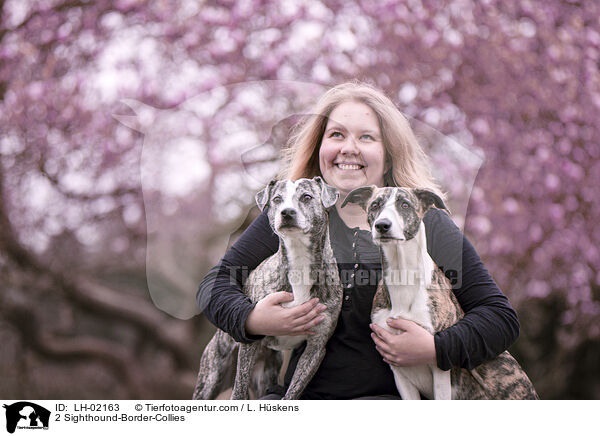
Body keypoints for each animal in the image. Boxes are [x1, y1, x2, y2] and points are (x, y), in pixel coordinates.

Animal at [193, 176, 342, 398]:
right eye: (277, 199)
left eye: (306, 197)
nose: (287, 212)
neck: (299, 259)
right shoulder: (249, 345)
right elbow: (238, 391)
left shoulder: (316, 348)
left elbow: (292, 393)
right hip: (211, 375)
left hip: (265, 372)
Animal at [342, 186, 540, 400]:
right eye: (375, 205)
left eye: (405, 205)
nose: (382, 225)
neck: (402, 274)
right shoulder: (399, 372)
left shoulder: (440, 372)